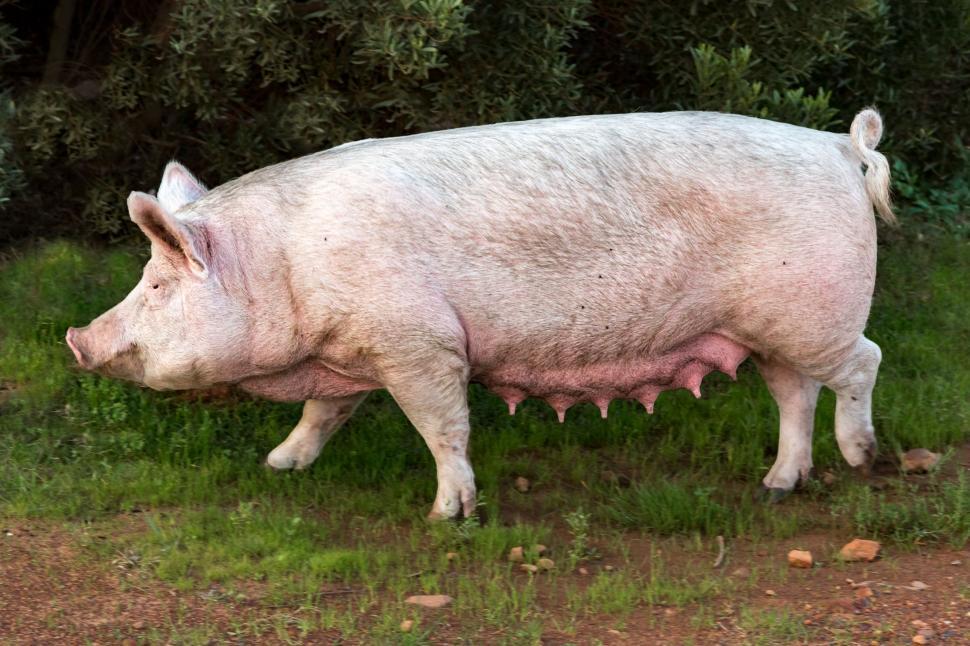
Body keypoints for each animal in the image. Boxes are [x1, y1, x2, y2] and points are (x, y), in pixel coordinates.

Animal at [66, 109, 892, 520]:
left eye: (157, 285)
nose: (77, 338)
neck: (285, 265)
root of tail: (837, 147)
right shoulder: (352, 353)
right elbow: (322, 413)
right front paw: (278, 466)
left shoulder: (419, 344)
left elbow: (443, 427)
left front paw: (449, 515)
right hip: (775, 328)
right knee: (793, 391)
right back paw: (777, 485)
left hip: (815, 312)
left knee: (864, 363)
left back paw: (863, 459)